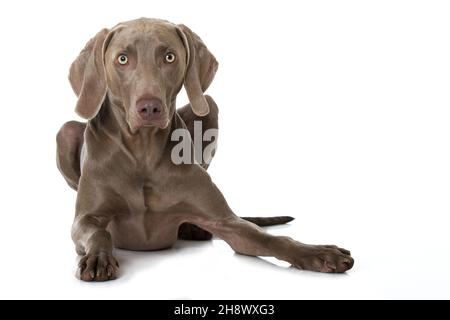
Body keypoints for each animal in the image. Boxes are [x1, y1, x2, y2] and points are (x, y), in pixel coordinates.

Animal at [56, 18, 354, 282]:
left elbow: (270, 237)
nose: (149, 108)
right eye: (122, 59)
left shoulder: (228, 222)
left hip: (209, 108)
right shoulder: (86, 219)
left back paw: (192, 228)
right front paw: (98, 258)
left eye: (169, 57)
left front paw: (318, 253)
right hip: (65, 133)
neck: (143, 152)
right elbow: (99, 233)